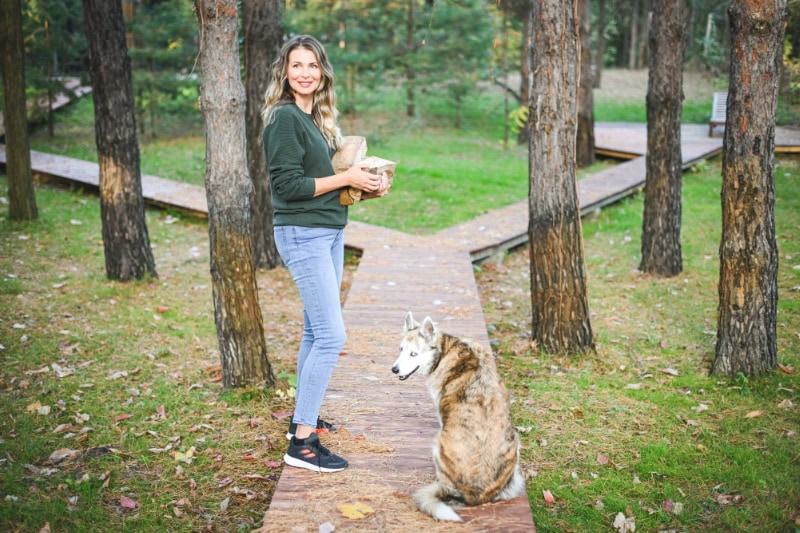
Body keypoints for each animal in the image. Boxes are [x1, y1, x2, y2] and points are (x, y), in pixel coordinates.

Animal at [390, 310, 524, 520]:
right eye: (400, 349)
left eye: (413, 354)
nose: (394, 370)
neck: (445, 349)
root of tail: (475, 495)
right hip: (516, 443)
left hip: (438, 442)